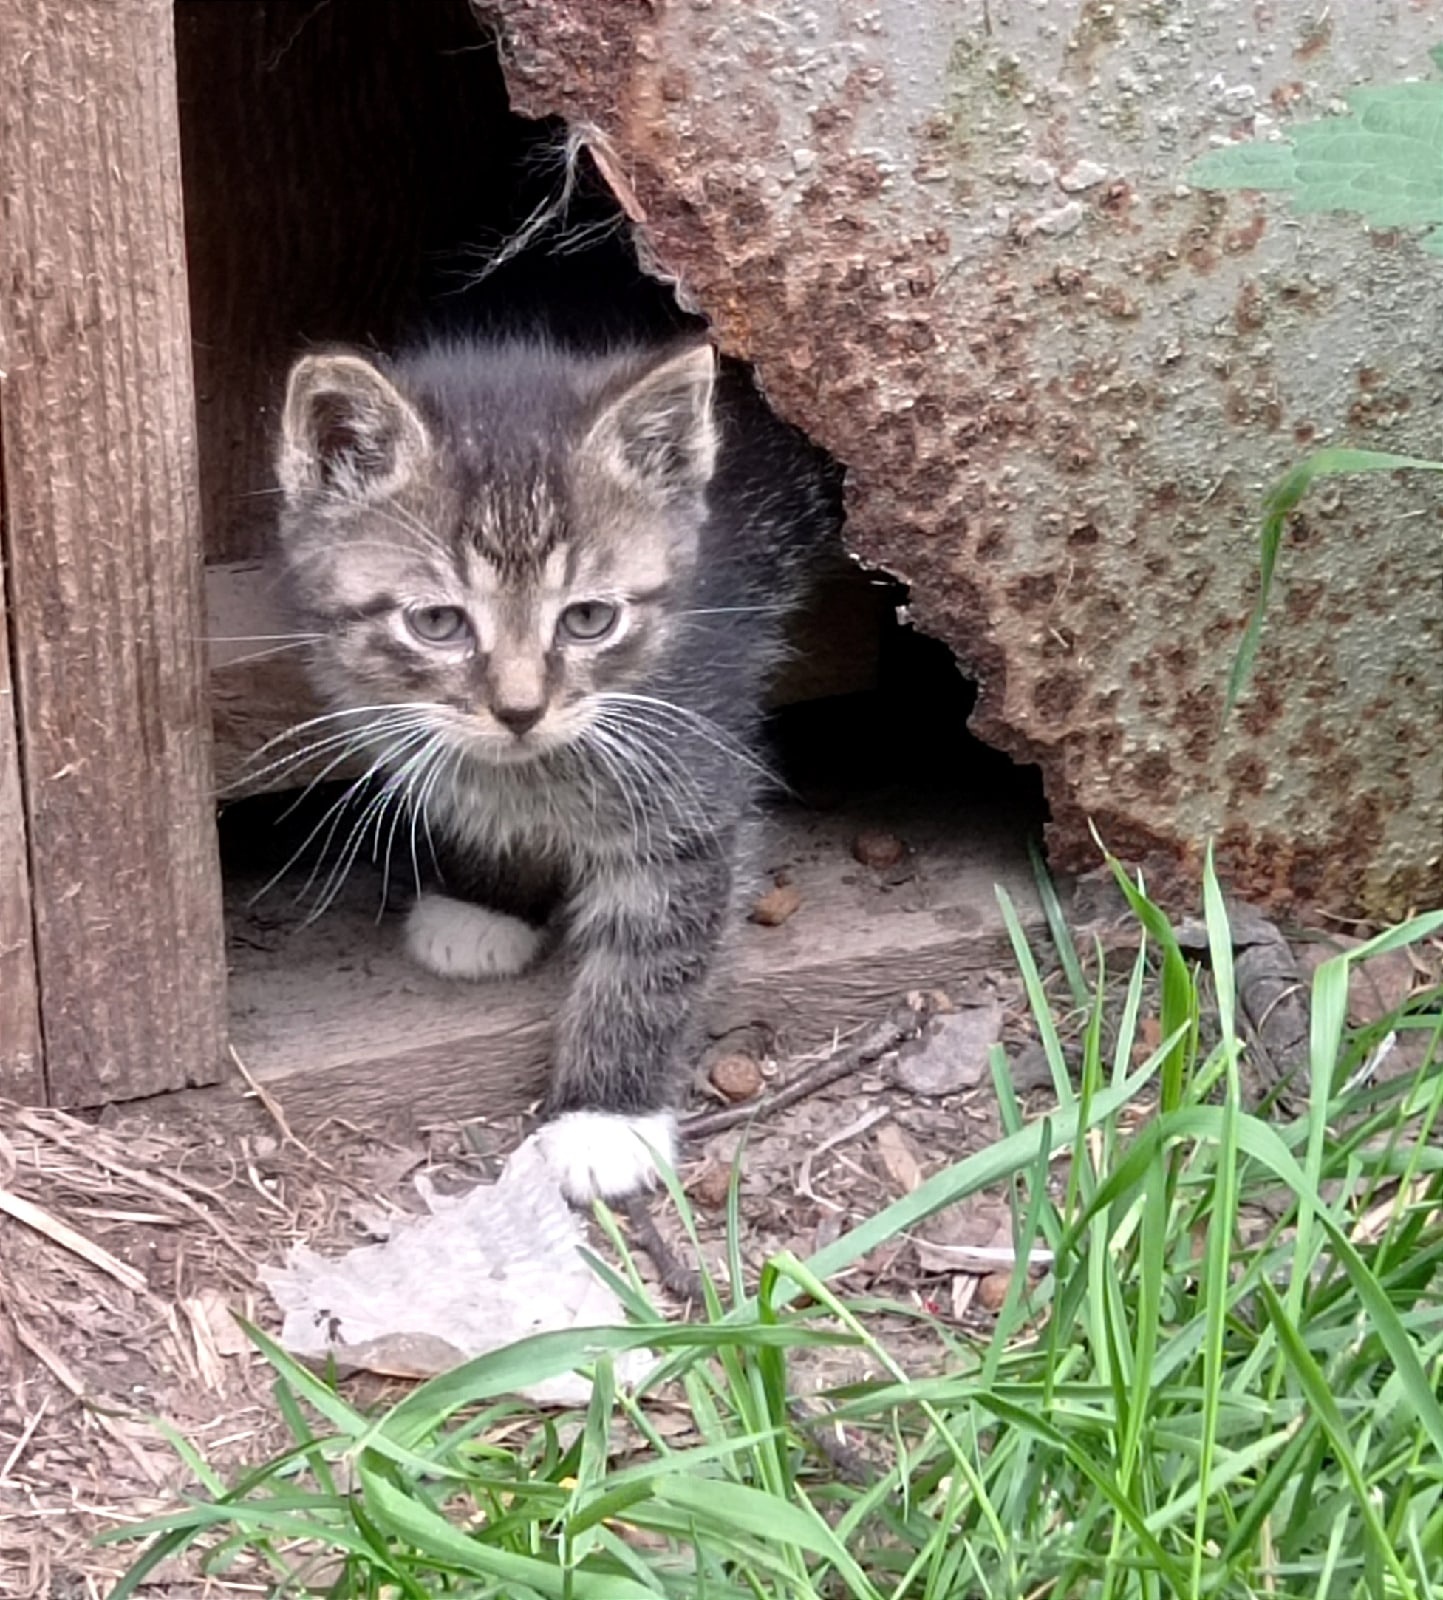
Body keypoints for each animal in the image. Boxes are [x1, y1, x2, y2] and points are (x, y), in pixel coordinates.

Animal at [276, 344, 844, 1203]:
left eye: (587, 619)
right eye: (436, 622)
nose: (519, 710)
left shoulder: (690, 782)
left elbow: (654, 951)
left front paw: (606, 1116)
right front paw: (487, 898)